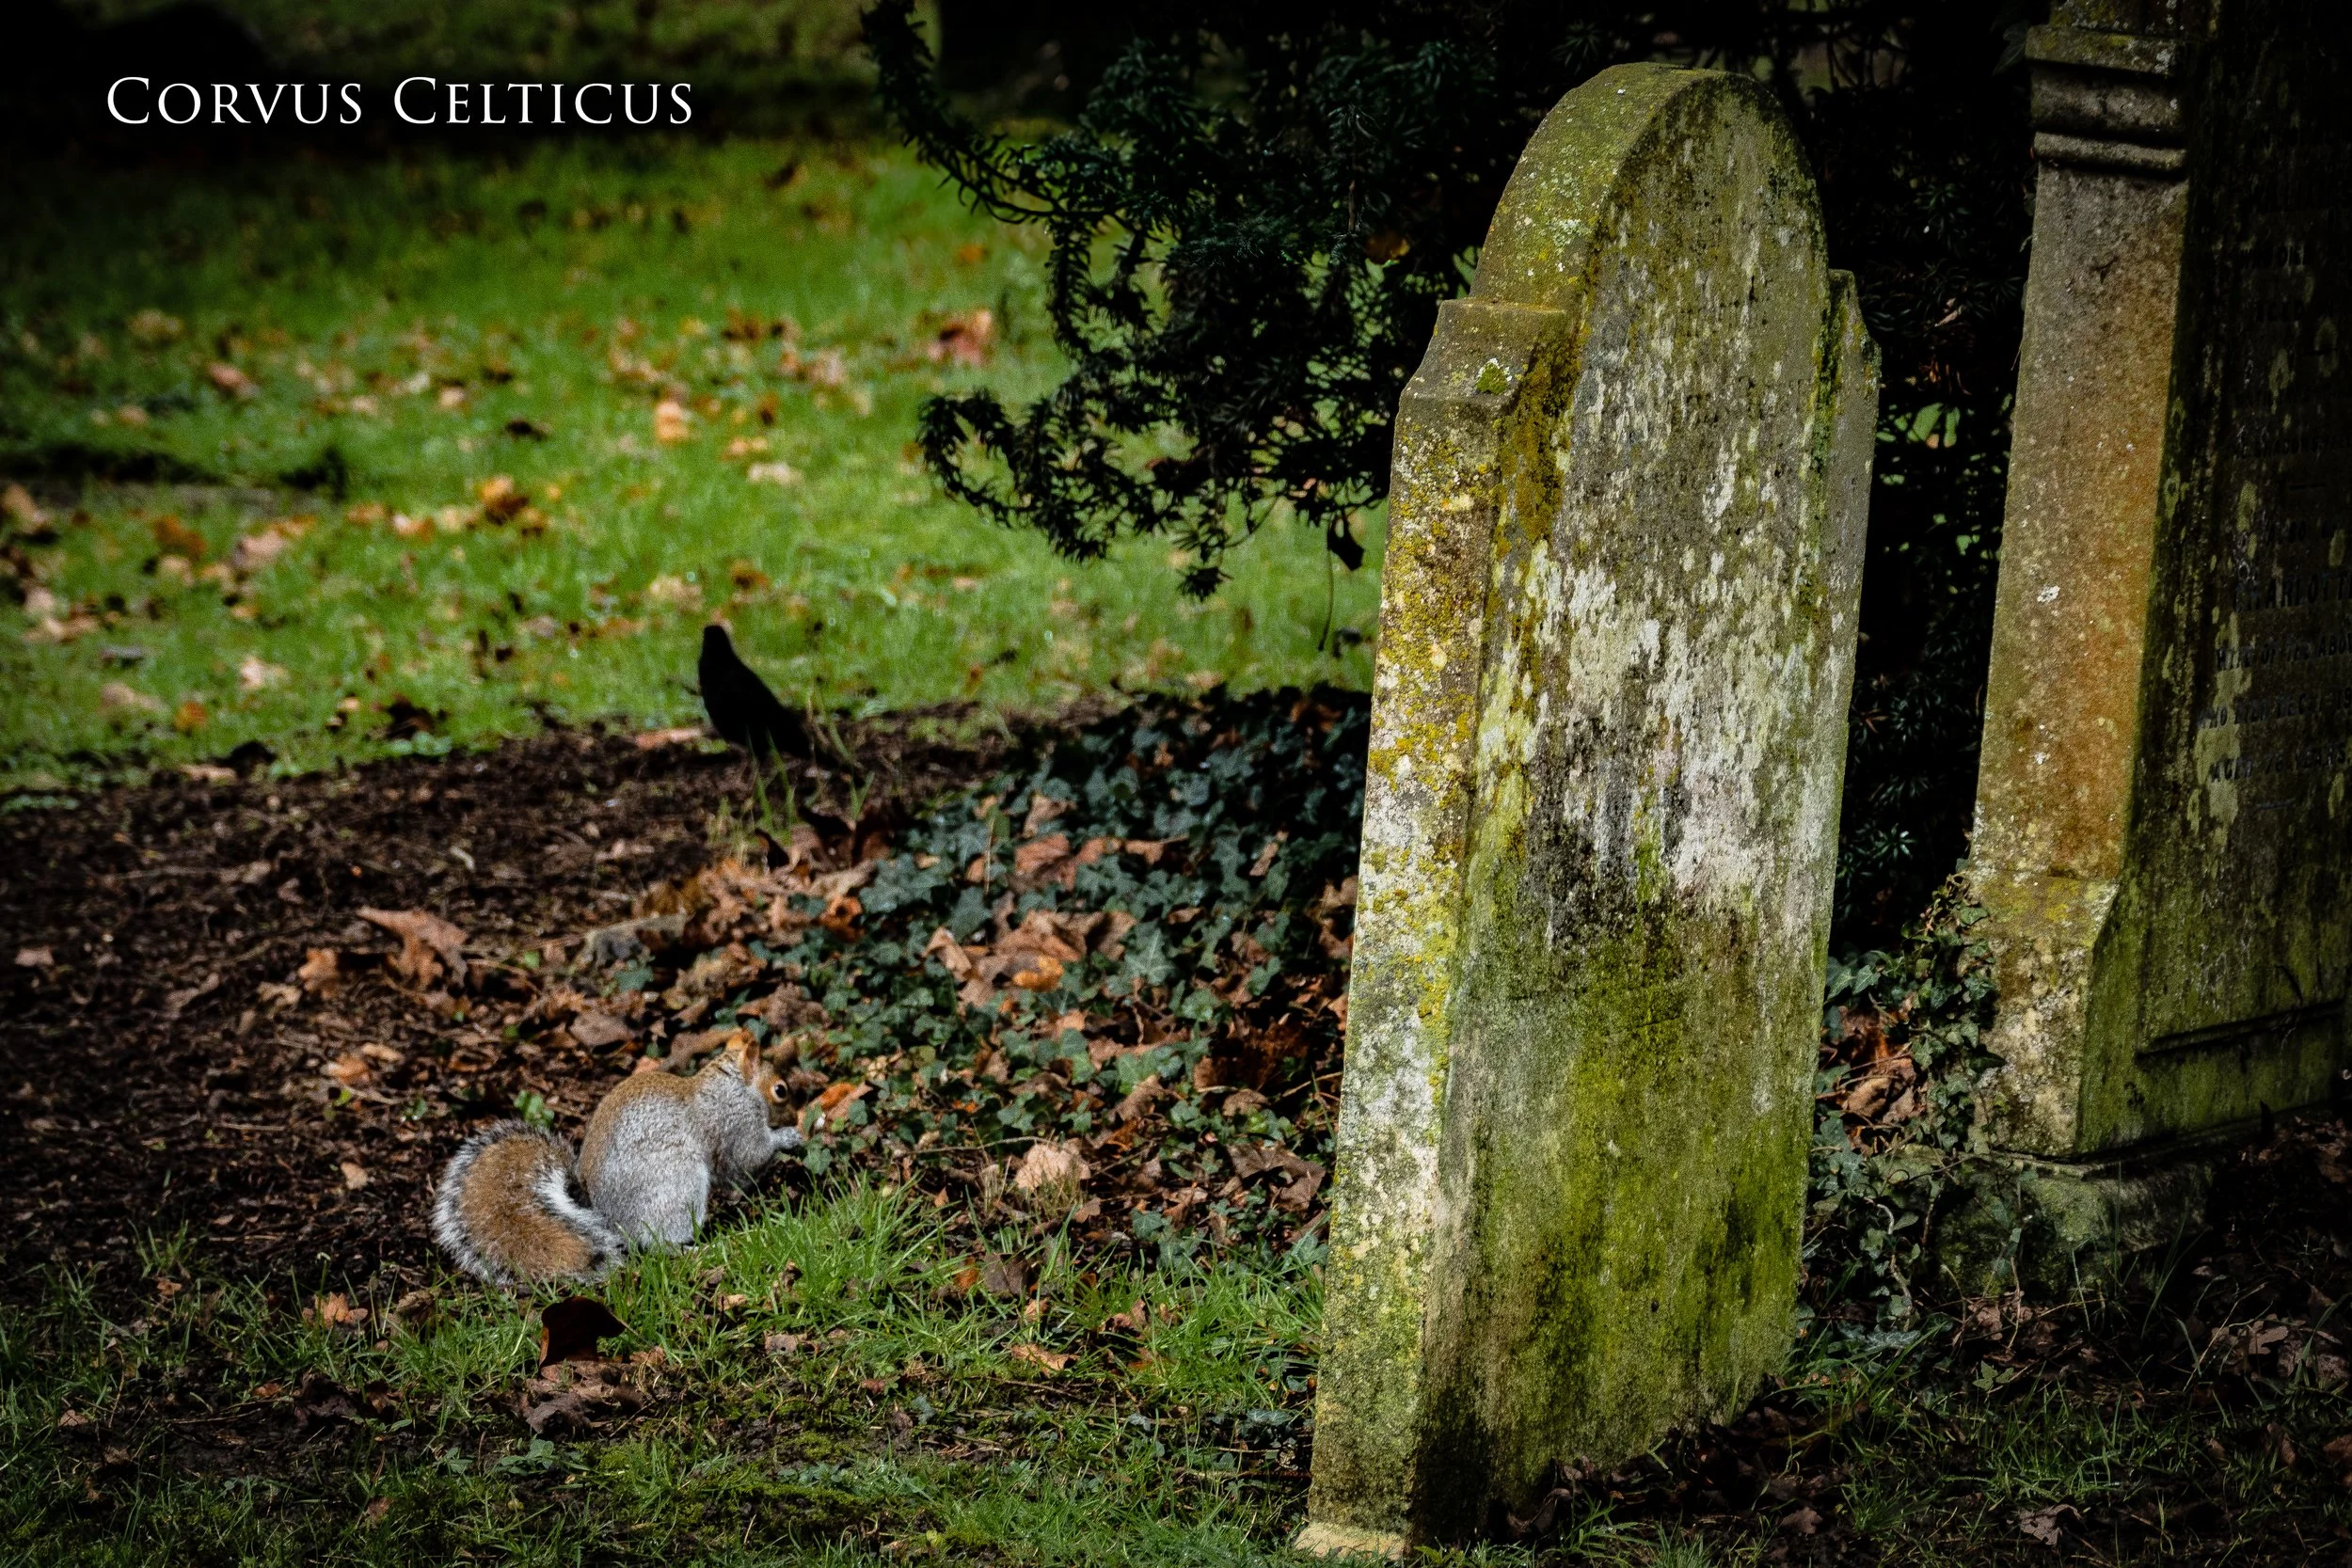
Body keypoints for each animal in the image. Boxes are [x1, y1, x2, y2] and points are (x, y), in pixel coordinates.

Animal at [433, 1034, 804, 1286]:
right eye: (781, 1090)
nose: (795, 1115)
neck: (734, 1086)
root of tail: (605, 1218)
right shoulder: (736, 1123)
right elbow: (747, 1160)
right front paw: (790, 1136)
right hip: (678, 1188)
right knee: (658, 1243)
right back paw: (695, 1250)